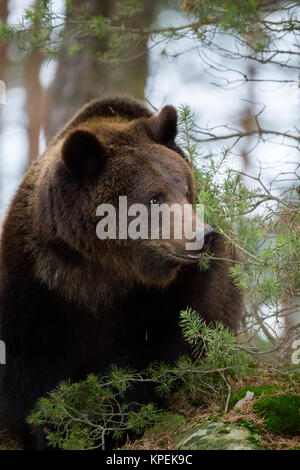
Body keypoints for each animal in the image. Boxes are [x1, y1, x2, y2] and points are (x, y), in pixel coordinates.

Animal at [0, 94, 244, 448]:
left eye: (185, 189)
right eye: (154, 197)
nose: (204, 234)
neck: (104, 270)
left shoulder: (165, 297)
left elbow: (150, 356)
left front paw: (119, 421)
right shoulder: (38, 283)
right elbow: (31, 366)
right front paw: (53, 430)